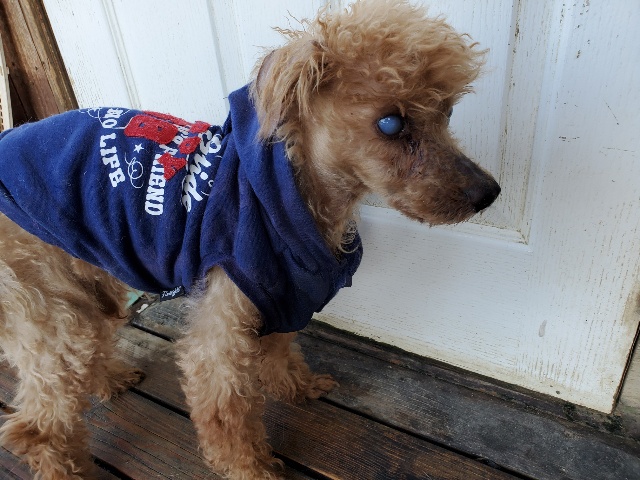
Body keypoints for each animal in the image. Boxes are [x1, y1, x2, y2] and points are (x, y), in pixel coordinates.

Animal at [0, 0, 500, 478]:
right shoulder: (221, 329)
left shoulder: (283, 299)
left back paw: (110, 381)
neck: (298, 200)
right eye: (391, 124)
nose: (488, 193)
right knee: (34, 428)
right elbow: (226, 414)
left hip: (80, 288)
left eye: (447, 112)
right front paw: (251, 469)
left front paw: (299, 388)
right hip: (47, 306)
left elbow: (280, 354)